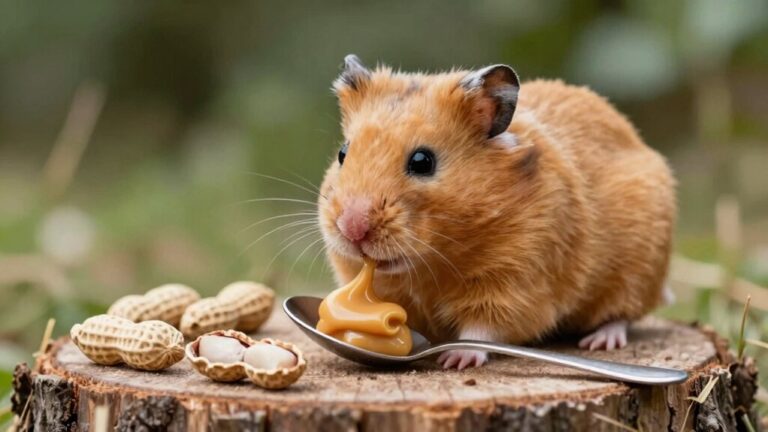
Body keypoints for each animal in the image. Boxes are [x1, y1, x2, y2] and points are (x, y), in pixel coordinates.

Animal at [317, 55, 676, 369]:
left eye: (422, 161)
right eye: (343, 153)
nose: (352, 228)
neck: (433, 262)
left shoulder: (515, 284)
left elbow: (482, 329)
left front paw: (455, 360)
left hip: (638, 269)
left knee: (623, 313)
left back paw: (600, 341)